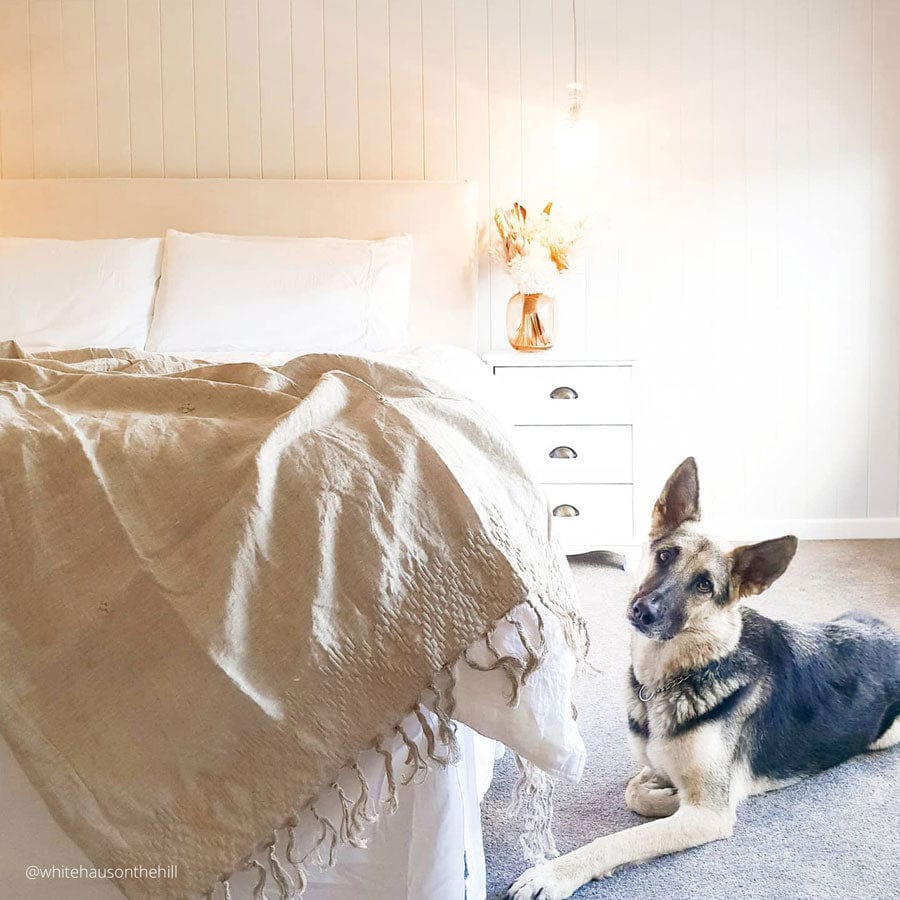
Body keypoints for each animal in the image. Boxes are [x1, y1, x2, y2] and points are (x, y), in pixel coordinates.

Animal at [508, 457, 900, 900]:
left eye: (703, 585)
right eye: (665, 555)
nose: (643, 611)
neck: (674, 676)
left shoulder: (708, 813)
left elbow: (622, 837)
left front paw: (553, 873)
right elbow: (634, 791)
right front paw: (659, 790)